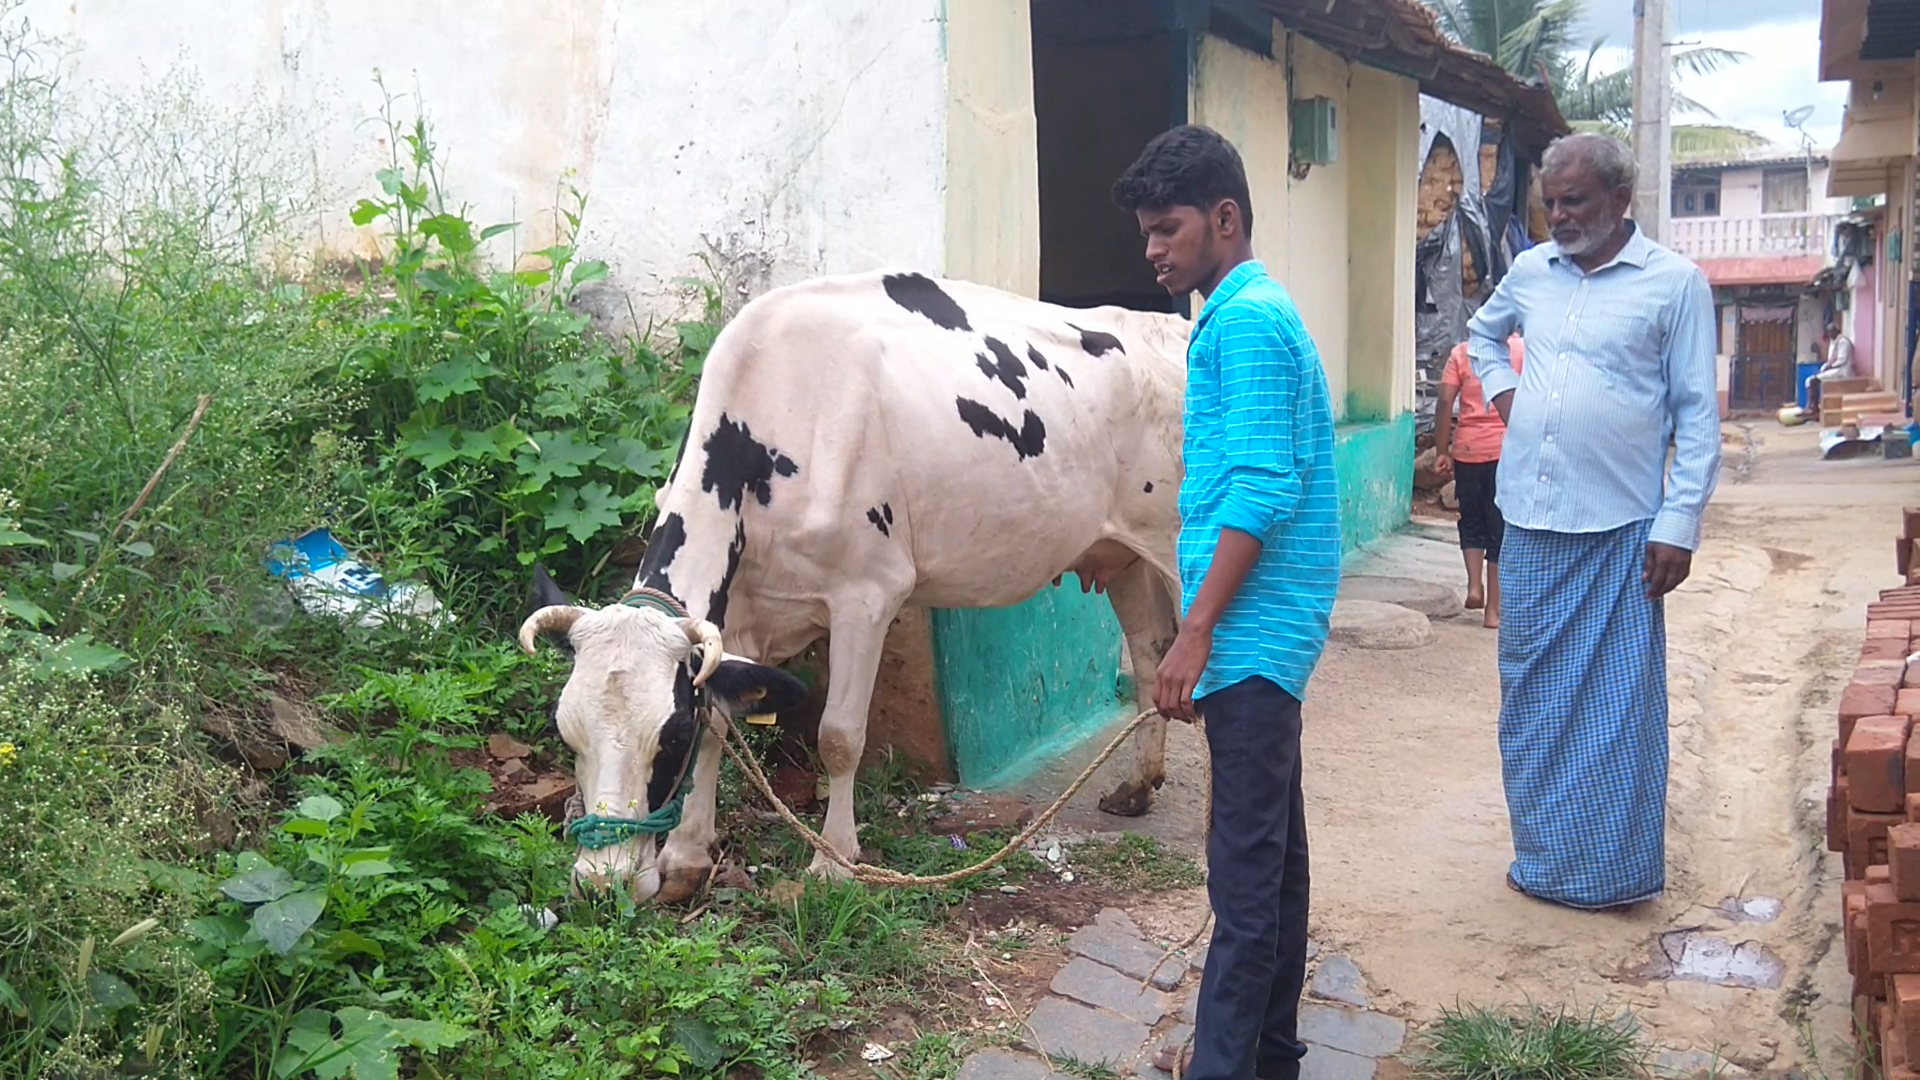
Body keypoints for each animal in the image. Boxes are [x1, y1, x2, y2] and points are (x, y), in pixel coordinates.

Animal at [518, 269, 1190, 899]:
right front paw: (685, 855)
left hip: (1181, 545)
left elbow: (838, 736)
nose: (601, 882)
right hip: (1123, 554)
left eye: (669, 734)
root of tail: (1173, 325)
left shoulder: (868, 594)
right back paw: (1136, 788)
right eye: (565, 730)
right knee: (1153, 655)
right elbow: (723, 721)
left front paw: (833, 862)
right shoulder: (737, 611)